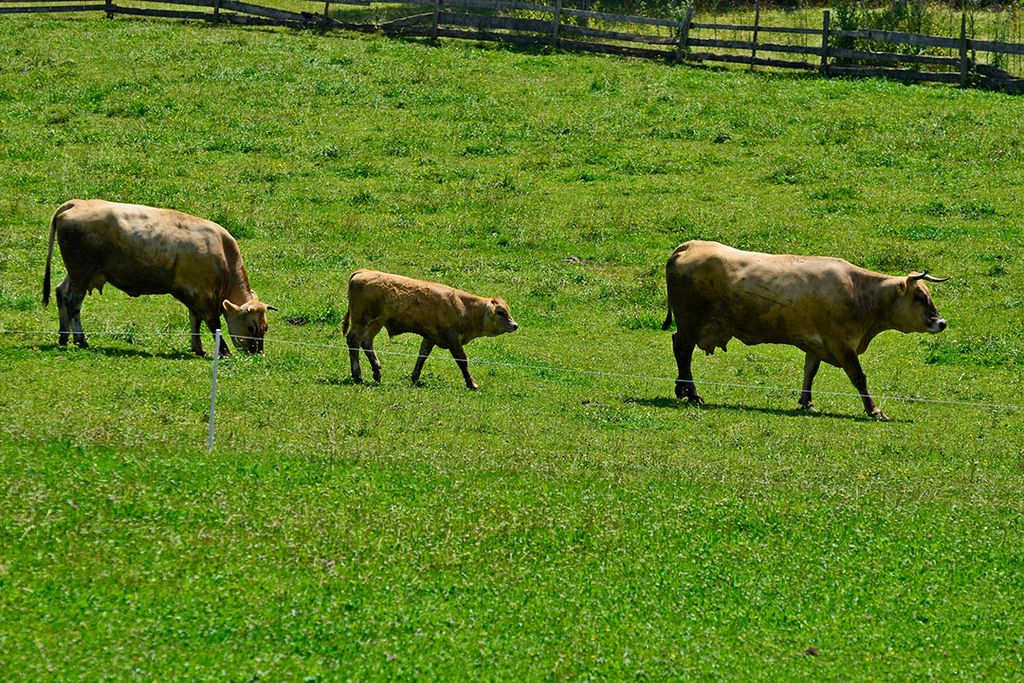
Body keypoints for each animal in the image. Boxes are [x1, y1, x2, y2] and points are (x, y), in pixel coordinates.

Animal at [43, 198, 276, 356]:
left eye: (266, 327)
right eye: (252, 327)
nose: (257, 354)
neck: (222, 254)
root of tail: (76, 203)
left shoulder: (196, 296)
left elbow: (195, 321)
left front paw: (198, 348)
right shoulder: (202, 297)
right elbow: (213, 324)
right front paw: (223, 351)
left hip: (77, 273)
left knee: (61, 292)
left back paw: (63, 337)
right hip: (81, 272)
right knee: (73, 302)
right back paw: (81, 340)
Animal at [344, 270, 520, 389]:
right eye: (500, 312)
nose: (515, 325)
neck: (465, 307)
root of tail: (363, 272)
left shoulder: (430, 337)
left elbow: (422, 356)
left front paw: (415, 378)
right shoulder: (452, 338)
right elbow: (462, 360)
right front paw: (472, 383)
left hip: (376, 323)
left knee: (366, 342)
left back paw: (377, 372)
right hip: (361, 320)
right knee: (354, 340)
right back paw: (358, 375)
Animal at [663, 240, 950, 421]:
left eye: (929, 295)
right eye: (920, 298)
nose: (941, 322)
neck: (859, 292)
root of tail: (691, 245)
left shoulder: (816, 344)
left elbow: (809, 372)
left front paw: (806, 402)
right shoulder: (841, 343)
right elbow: (859, 377)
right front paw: (874, 410)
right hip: (690, 321)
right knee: (682, 351)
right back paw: (691, 394)